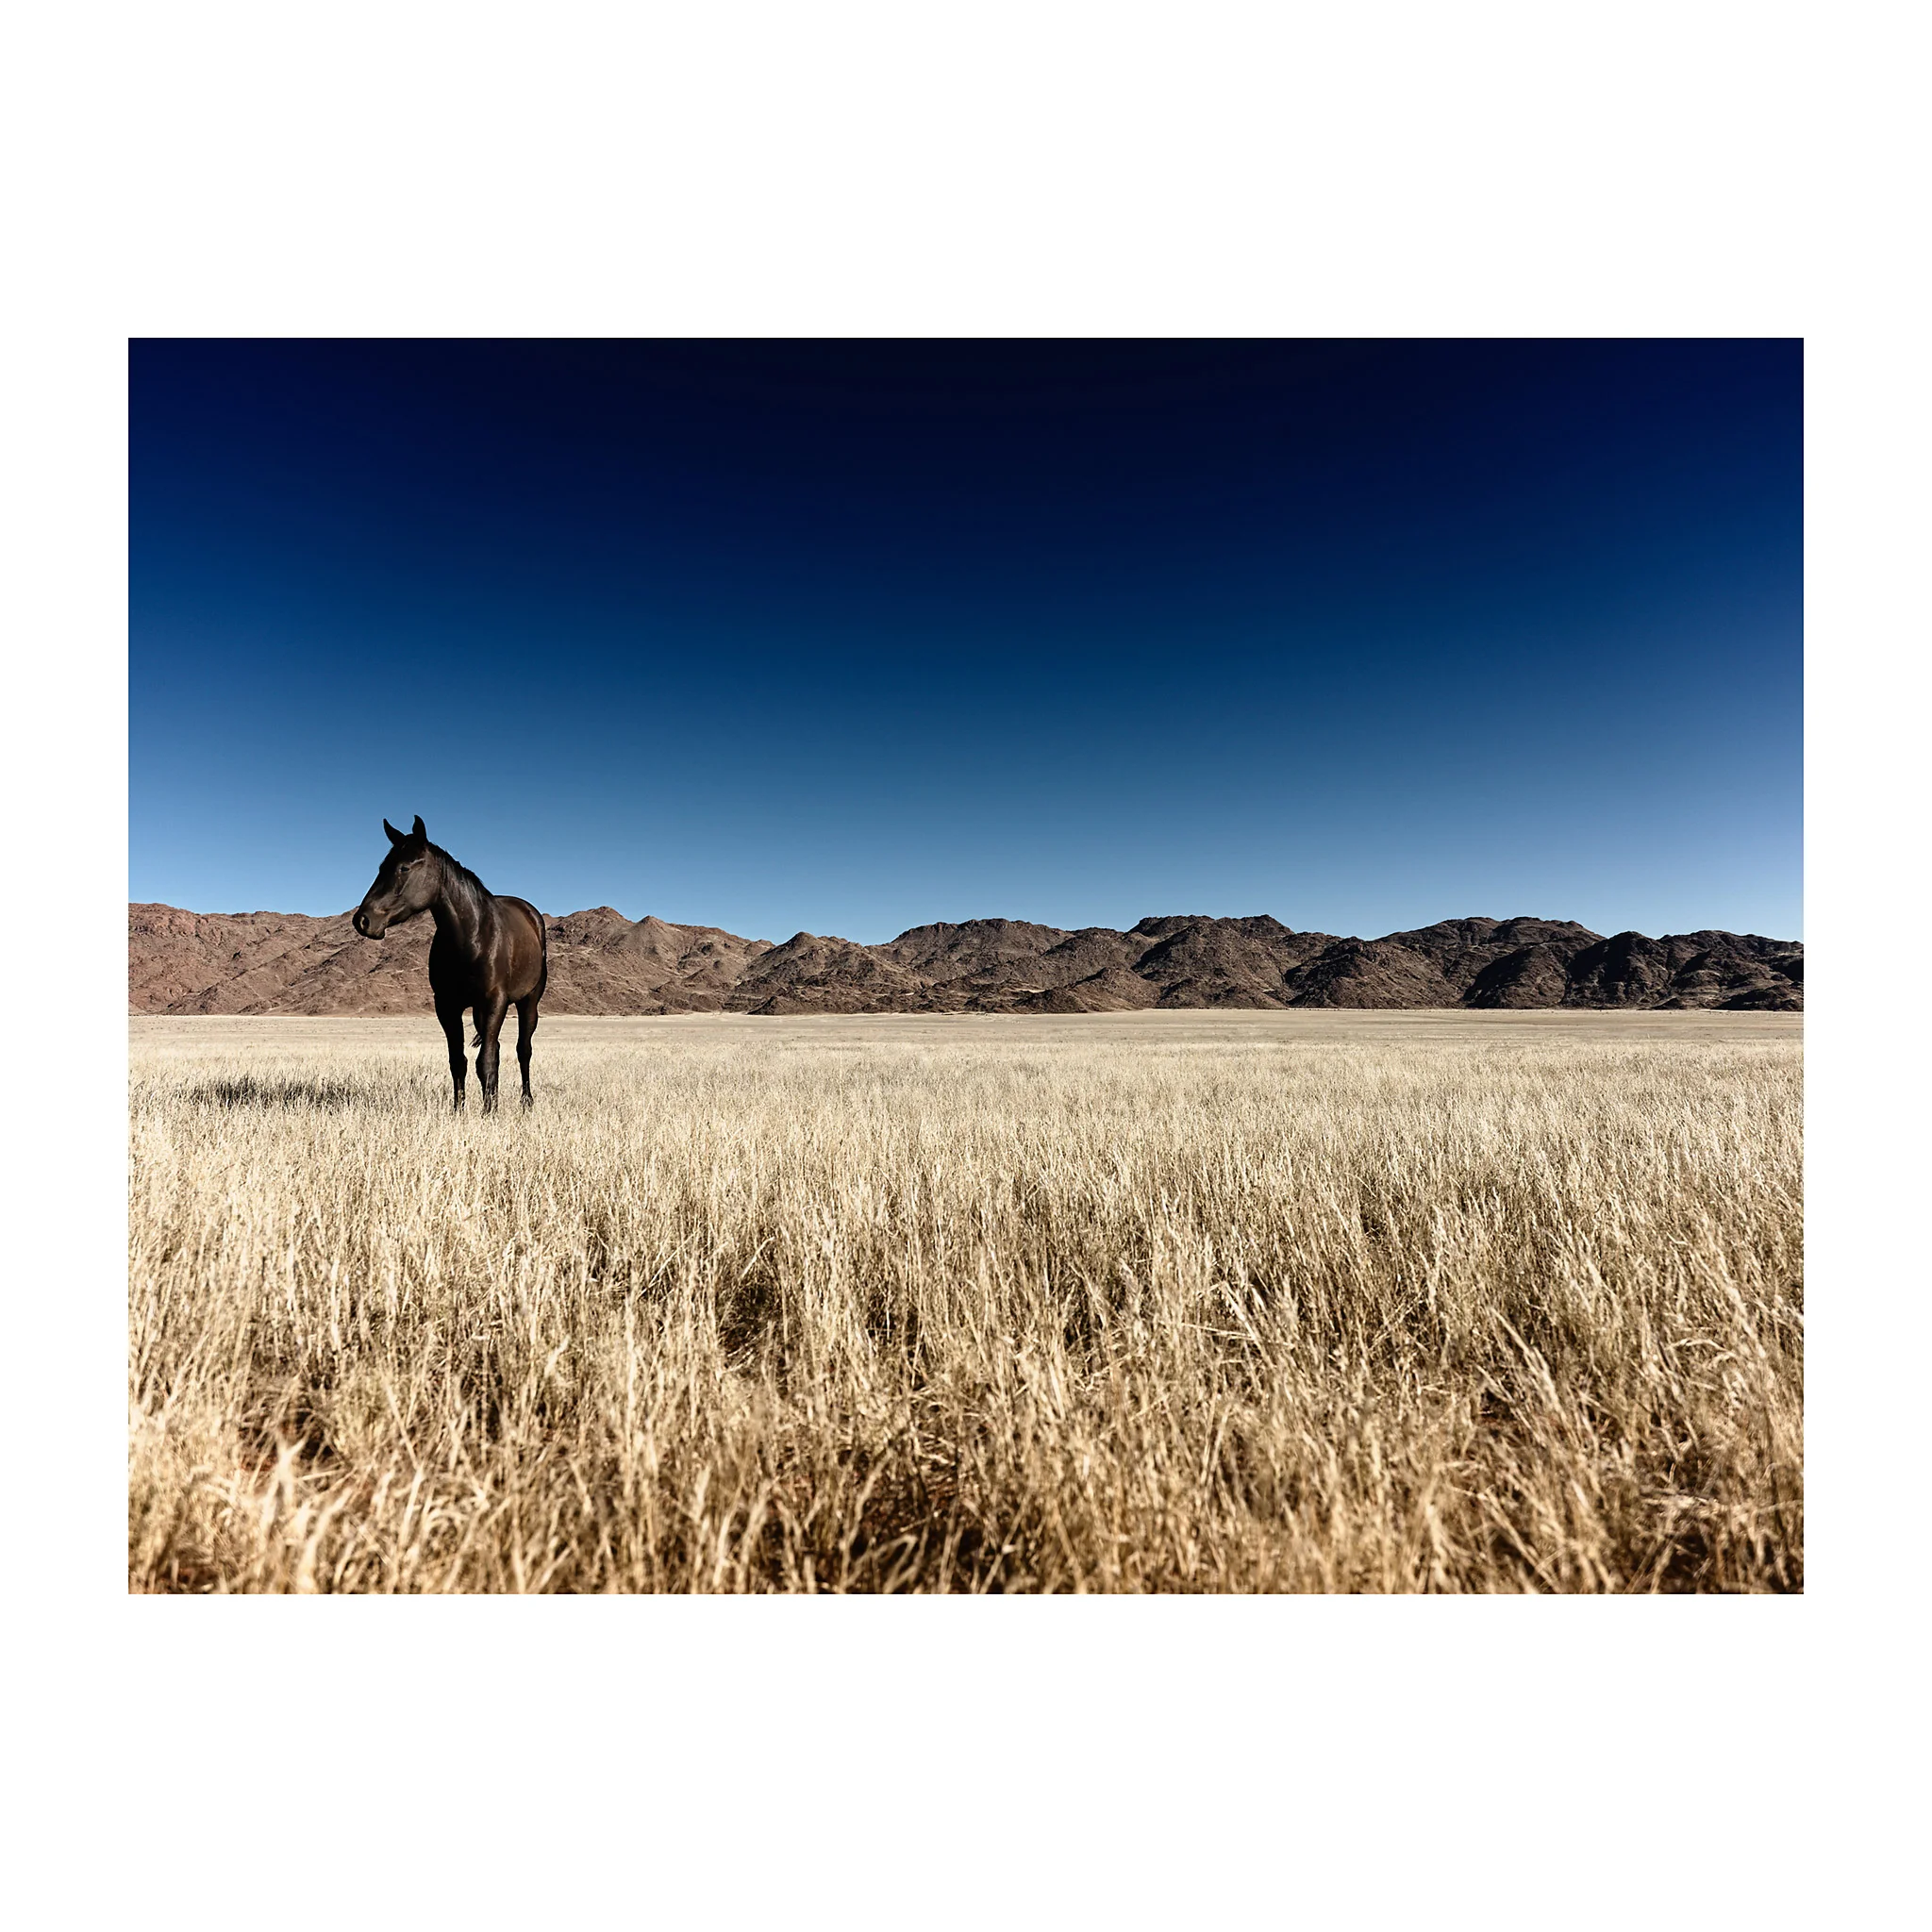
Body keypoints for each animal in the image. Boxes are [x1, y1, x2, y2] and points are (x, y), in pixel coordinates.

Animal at [352, 816, 548, 1112]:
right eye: (381, 868)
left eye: (404, 867)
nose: (363, 920)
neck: (473, 936)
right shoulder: (447, 1006)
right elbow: (459, 1061)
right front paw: (460, 1110)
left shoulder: (496, 1001)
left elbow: (486, 1061)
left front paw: (489, 1113)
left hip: (528, 1002)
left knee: (523, 1050)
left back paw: (526, 1102)